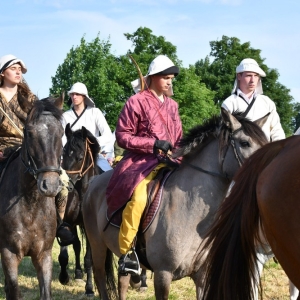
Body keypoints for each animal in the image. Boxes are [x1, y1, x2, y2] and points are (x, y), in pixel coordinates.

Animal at [0, 95, 63, 298]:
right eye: (29, 133)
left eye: (61, 133)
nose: (50, 184)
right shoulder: (9, 254)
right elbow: (14, 291)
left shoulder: (44, 255)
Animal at [81, 108, 268, 300]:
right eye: (245, 143)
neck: (191, 213)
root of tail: (94, 182)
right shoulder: (163, 274)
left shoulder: (202, 276)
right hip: (97, 245)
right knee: (100, 277)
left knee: (123, 282)